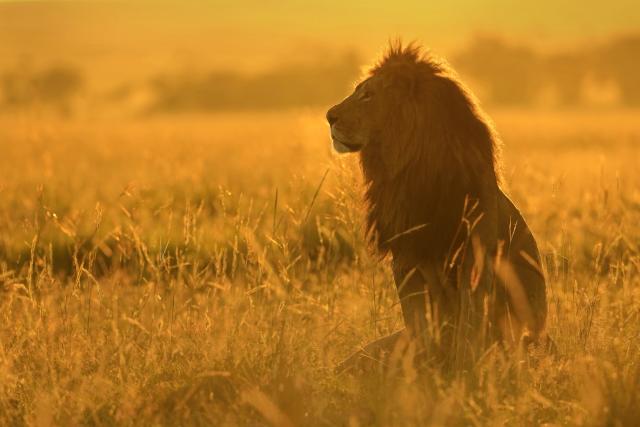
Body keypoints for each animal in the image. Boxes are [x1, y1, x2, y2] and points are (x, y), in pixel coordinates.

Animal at [326, 42, 549, 370]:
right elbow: (421, 323)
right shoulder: (406, 259)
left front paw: (463, 368)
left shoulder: (474, 256)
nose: (328, 116)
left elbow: (470, 323)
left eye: (368, 94)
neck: (411, 172)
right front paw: (424, 367)